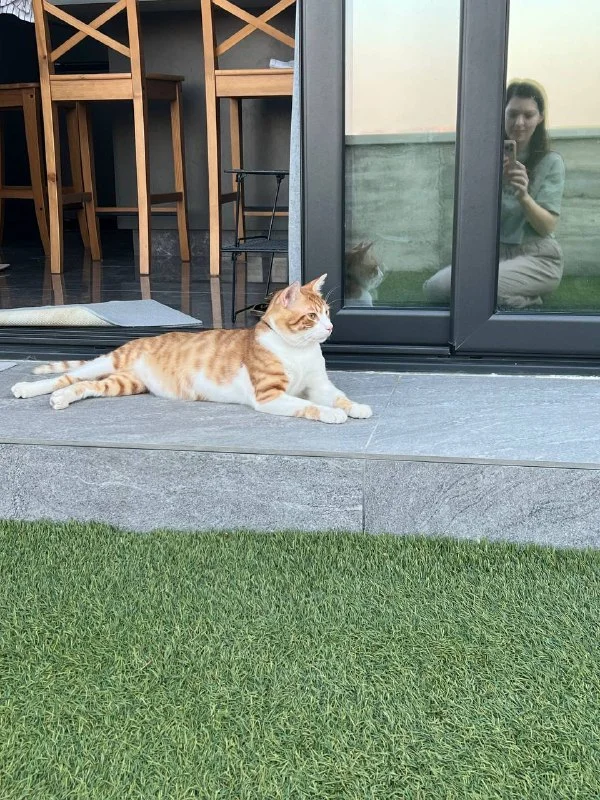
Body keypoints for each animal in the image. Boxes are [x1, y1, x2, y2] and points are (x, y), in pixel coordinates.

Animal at [11, 275, 373, 424]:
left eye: (327, 312)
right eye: (312, 316)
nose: (330, 327)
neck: (298, 352)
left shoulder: (320, 385)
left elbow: (339, 396)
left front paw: (355, 407)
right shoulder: (270, 396)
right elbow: (307, 406)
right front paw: (331, 414)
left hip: (124, 382)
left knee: (84, 386)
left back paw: (62, 399)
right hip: (109, 361)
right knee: (67, 376)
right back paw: (27, 388)